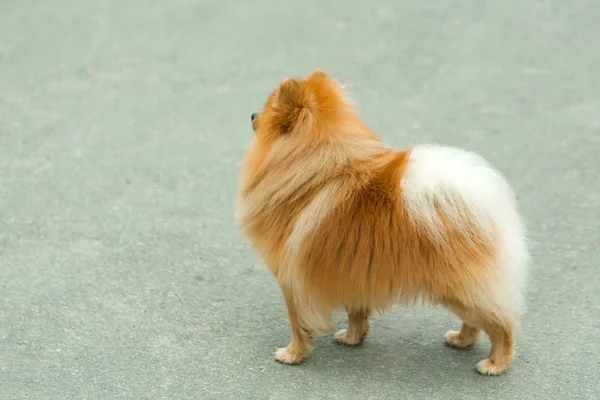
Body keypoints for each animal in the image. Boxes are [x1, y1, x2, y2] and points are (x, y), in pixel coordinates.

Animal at [237, 69, 528, 376]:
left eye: (268, 110)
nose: (252, 114)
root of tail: (481, 200)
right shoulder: (353, 272)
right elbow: (356, 312)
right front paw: (352, 338)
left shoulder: (291, 280)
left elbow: (297, 324)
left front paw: (292, 354)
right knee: (477, 322)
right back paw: (460, 340)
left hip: (460, 290)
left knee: (501, 326)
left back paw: (495, 364)